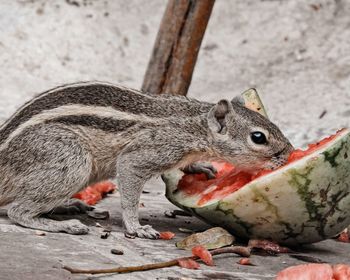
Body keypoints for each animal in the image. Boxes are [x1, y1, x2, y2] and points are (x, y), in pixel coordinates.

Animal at [0, 81, 292, 238]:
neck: (195, 125)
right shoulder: (147, 153)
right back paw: (60, 224)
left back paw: (67, 206)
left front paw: (200, 167)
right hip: (70, 160)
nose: (289, 153)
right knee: (17, 211)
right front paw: (136, 227)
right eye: (258, 137)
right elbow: (129, 190)